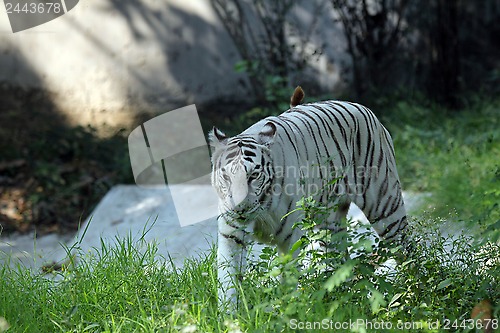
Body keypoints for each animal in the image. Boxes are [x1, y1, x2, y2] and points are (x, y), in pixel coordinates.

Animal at [207, 87, 406, 308]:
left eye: (253, 175)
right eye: (226, 176)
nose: (239, 207)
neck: (262, 207)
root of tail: (358, 106)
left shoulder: (290, 238)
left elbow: (288, 278)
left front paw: (289, 309)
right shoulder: (231, 235)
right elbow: (229, 280)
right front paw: (230, 314)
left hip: (385, 205)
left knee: (405, 247)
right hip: (330, 227)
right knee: (339, 261)